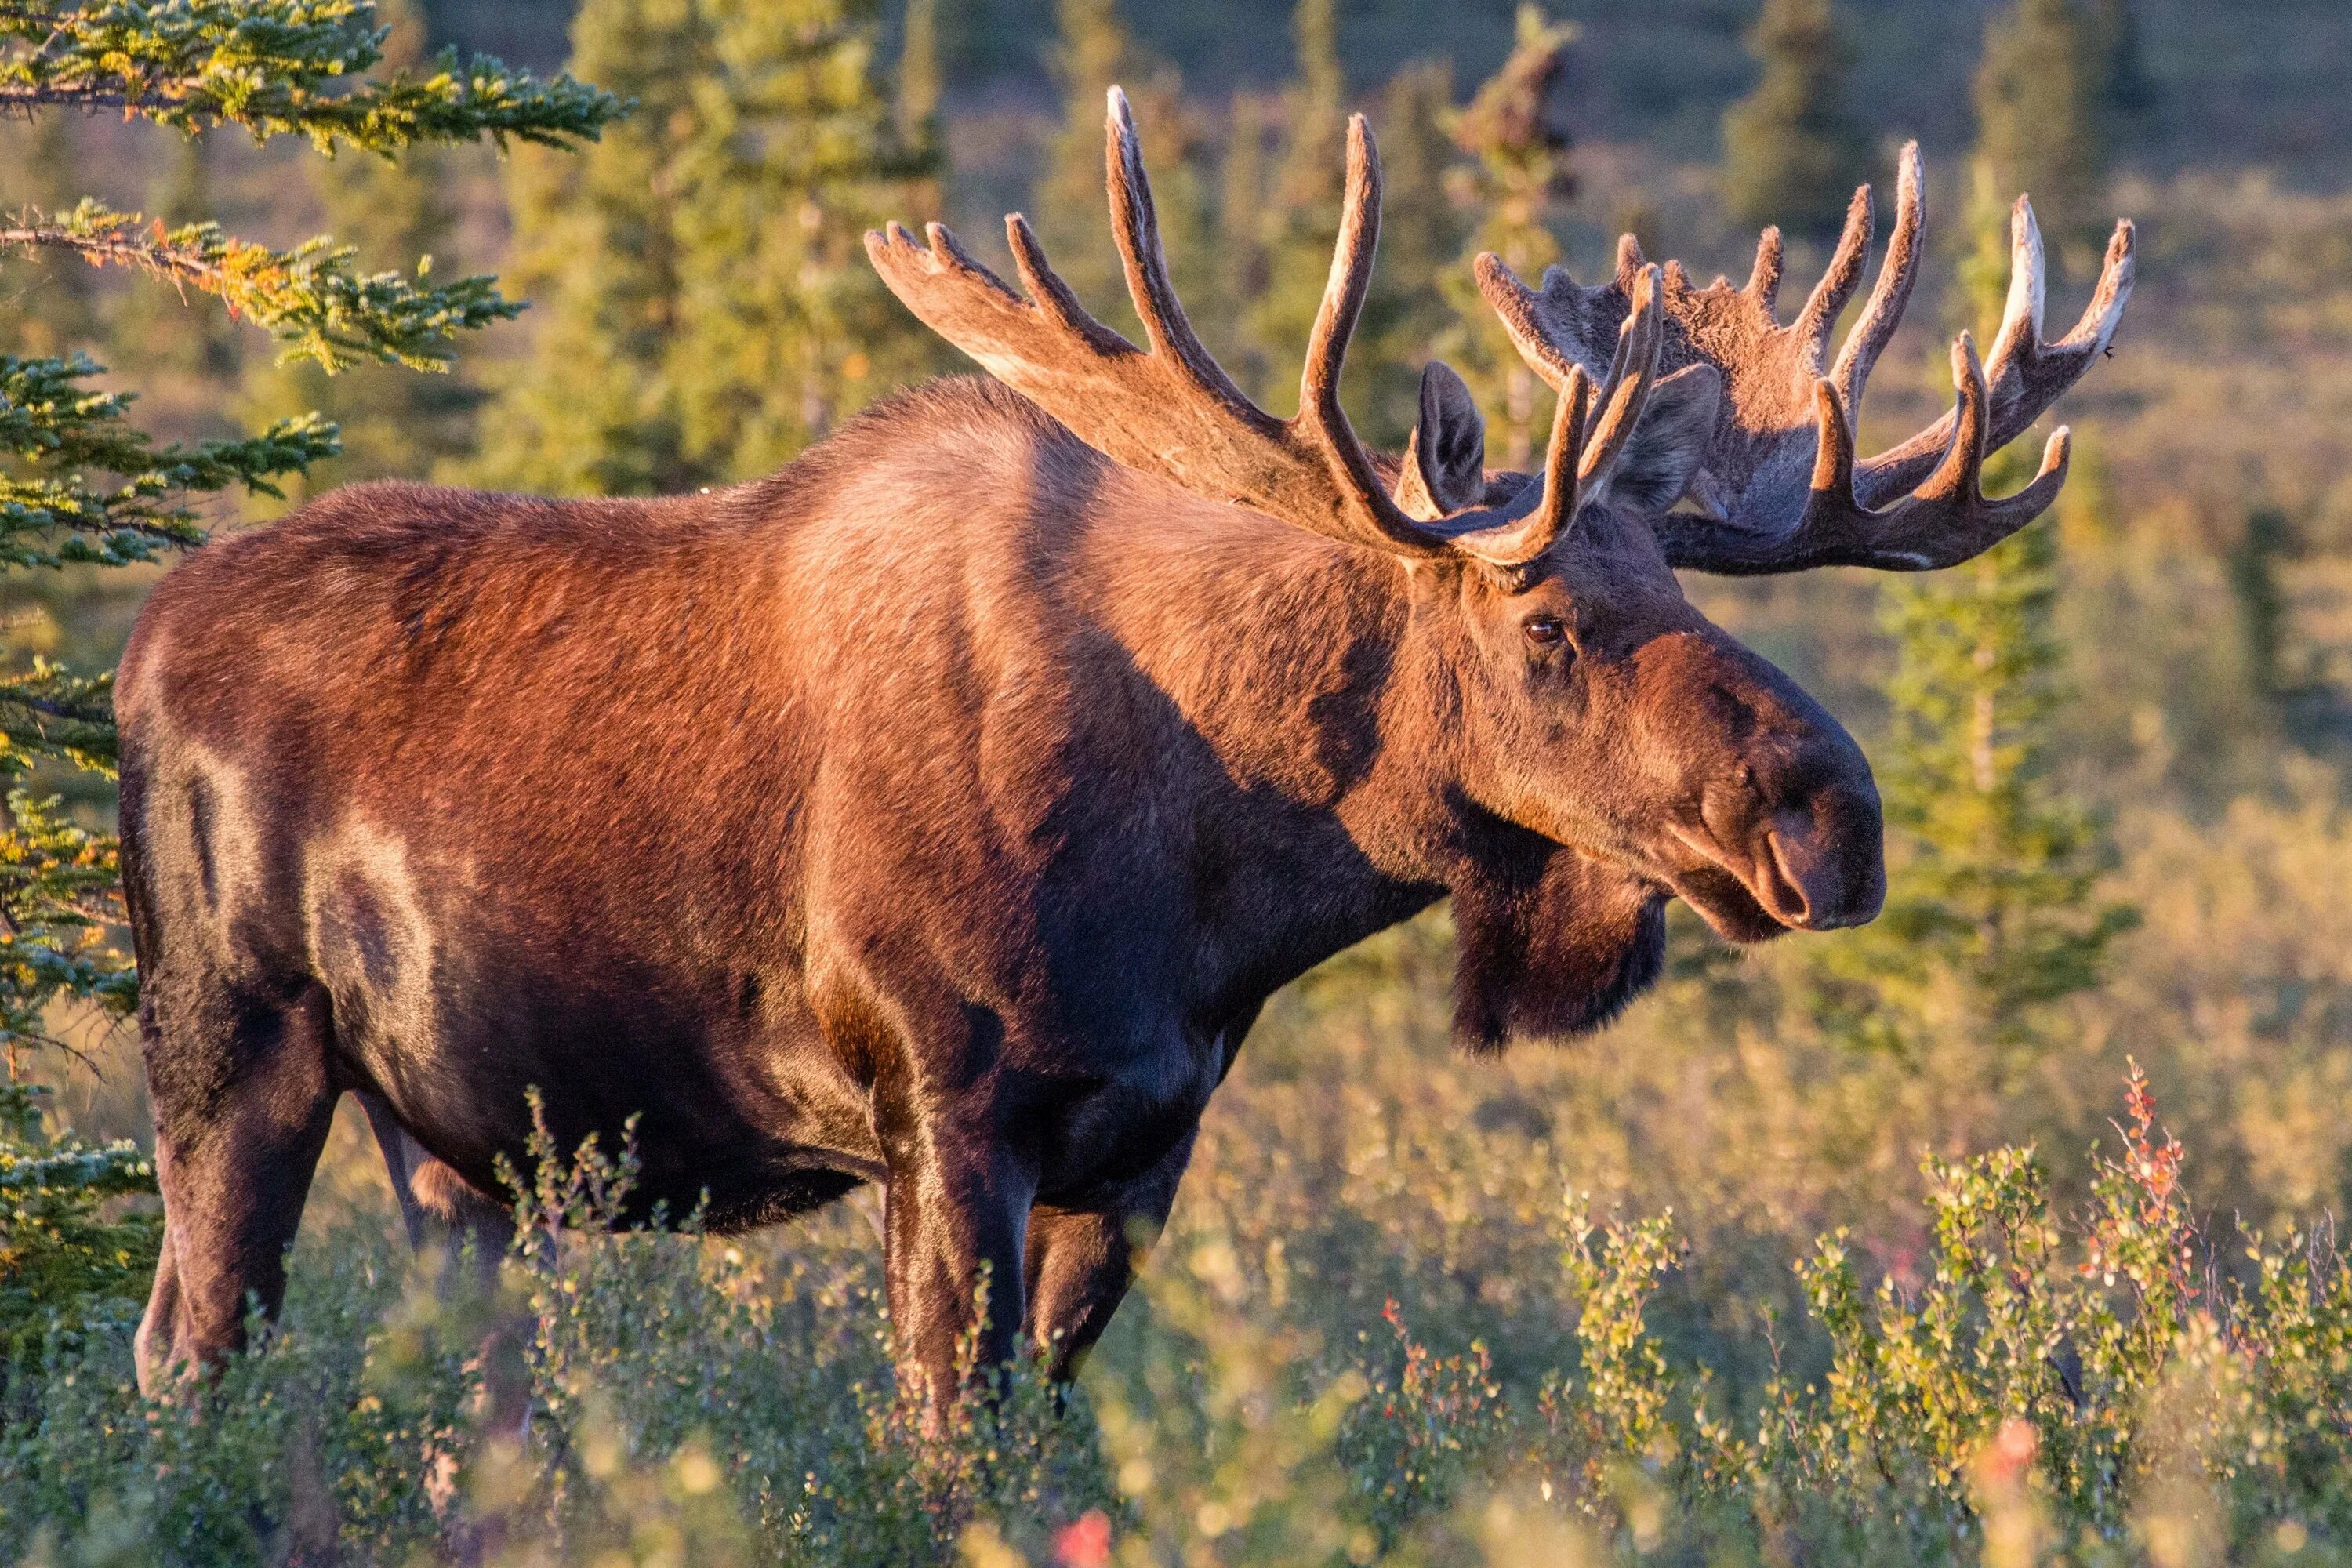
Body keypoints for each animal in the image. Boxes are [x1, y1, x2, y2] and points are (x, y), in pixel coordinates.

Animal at [124, 89, 2136, 1410]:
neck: (1213, 884)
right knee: (182, 1348)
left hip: (456, 1142)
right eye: (1548, 621)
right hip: (235, 1042)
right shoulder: (946, 1115)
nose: (1834, 815)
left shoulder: (1144, 1147)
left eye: (1681, 580)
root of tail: (136, 647)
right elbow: (941, 1437)